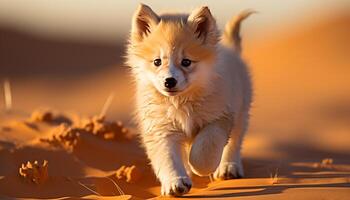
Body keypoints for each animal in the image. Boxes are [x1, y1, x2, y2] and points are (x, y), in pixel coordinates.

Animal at [127, 3, 253, 196]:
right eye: (157, 62)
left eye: (186, 62)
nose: (169, 81)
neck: (181, 102)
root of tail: (231, 50)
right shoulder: (161, 130)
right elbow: (168, 158)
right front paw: (176, 182)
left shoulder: (219, 117)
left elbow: (205, 148)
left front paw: (199, 168)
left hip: (241, 112)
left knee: (234, 143)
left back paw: (228, 167)